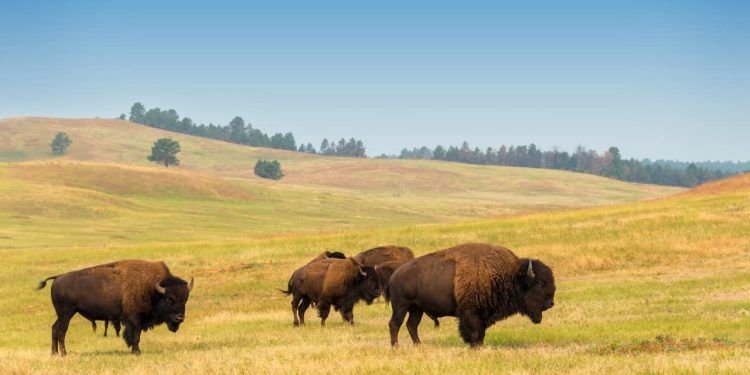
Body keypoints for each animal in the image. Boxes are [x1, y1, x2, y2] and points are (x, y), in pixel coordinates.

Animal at [38, 260, 194, 356]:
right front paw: (136, 352)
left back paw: (54, 354)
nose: (180, 318)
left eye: (186, 299)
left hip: (62, 315)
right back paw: (64, 354)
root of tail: (58, 277)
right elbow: (136, 336)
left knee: (54, 328)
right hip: (66, 314)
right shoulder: (134, 319)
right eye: (169, 298)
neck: (152, 289)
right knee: (61, 331)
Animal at [390, 245, 556, 348]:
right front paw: (475, 346)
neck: (509, 275)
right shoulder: (471, 313)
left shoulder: (483, 315)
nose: (550, 303)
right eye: (539, 284)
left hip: (416, 308)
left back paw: (418, 346)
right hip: (401, 306)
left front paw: (479, 345)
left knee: (411, 325)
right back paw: (396, 347)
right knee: (395, 324)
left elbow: (481, 332)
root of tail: (395, 274)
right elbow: (474, 331)